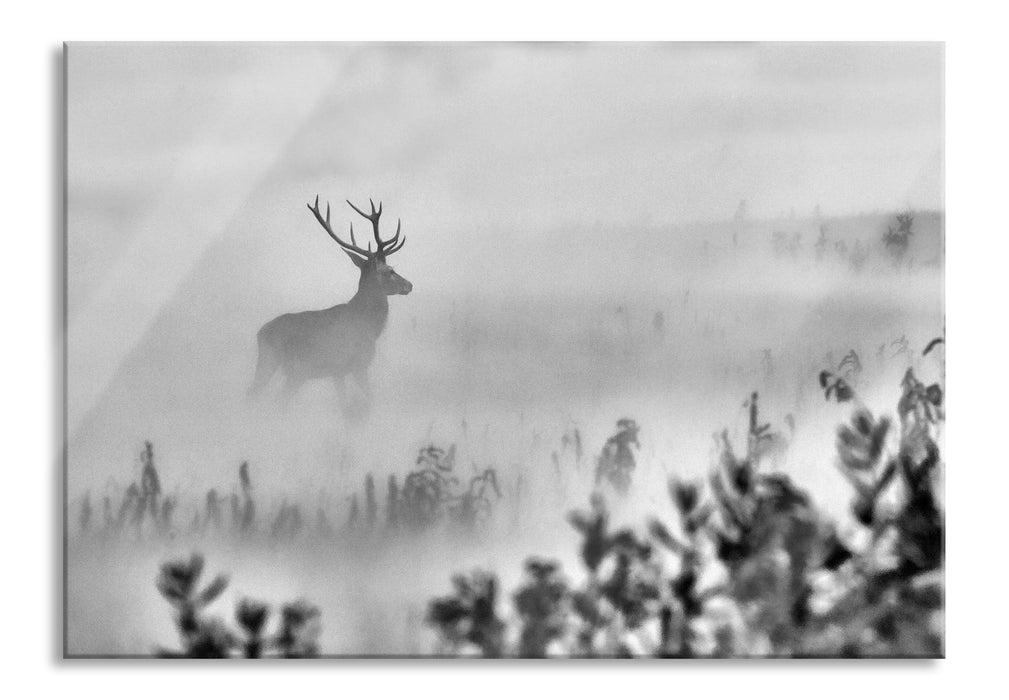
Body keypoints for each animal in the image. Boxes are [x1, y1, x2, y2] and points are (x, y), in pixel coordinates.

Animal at [248, 196, 412, 407]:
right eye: (391, 270)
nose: (409, 285)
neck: (369, 325)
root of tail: (260, 334)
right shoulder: (358, 363)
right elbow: (369, 398)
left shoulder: (337, 371)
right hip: (290, 366)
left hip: (277, 365)